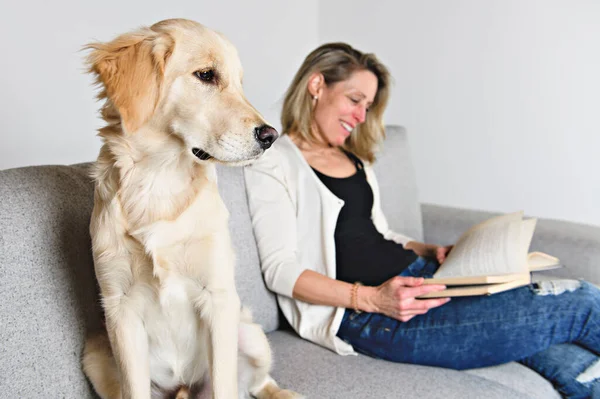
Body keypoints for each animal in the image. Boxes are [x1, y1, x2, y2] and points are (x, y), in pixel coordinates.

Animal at [79, 18, 302, 399]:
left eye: (239, 81)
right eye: (207, 75)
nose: (270, 136)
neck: (159, 181)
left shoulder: (218, 298)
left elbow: (226, 387)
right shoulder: (119, 307)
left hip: (250, 333)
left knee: (259, 382)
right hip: (94, 353)